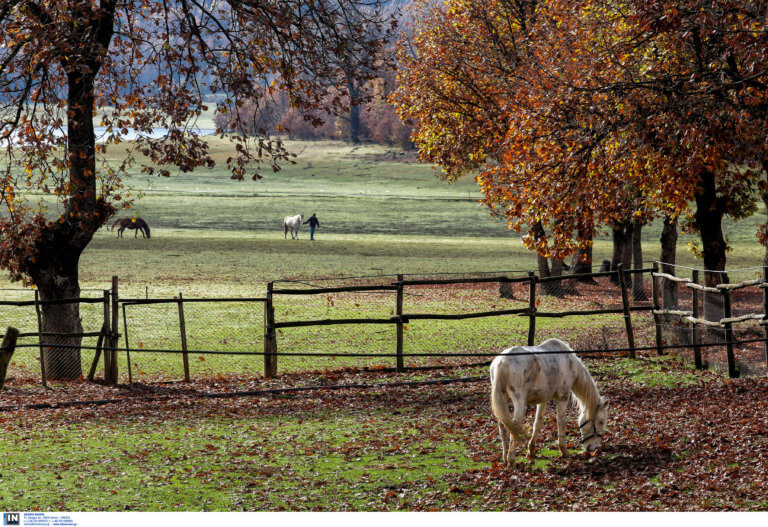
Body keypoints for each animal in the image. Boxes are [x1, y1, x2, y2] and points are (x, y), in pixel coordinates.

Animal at [492, 338, 608, 466]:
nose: (594, 448)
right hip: (520, 403)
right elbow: (561, 422)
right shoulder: (563, 397)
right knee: (514, 426)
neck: (568, 361)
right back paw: (511, 460)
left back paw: (504, 457)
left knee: (503, 424)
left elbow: (537, 423)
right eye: (601, 422)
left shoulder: (543, 400)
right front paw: (564, 451)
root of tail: (502, 362)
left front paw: (531, 450)